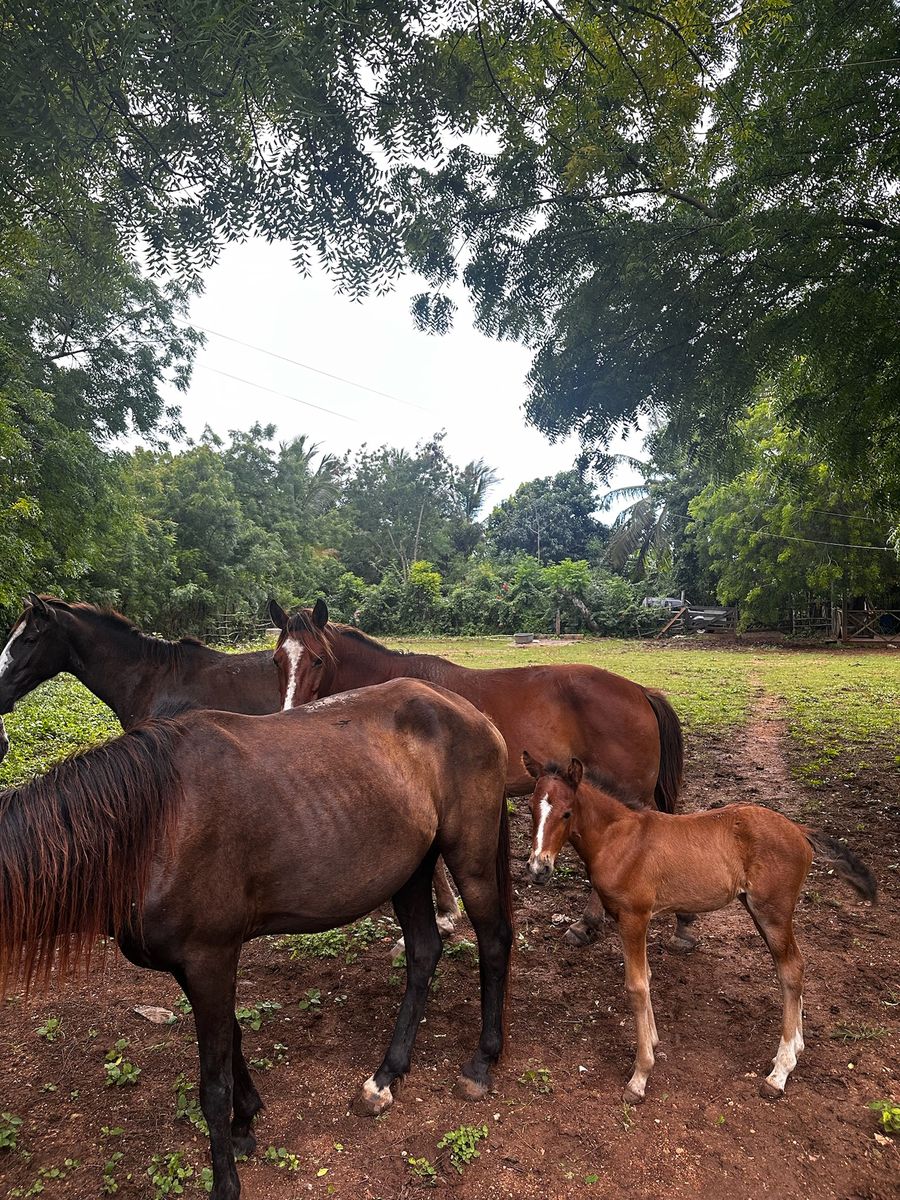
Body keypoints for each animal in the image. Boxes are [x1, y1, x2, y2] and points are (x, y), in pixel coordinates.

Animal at [0, 680, 514, 1200]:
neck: (152, 831)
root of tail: (467, 709)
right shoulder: (196, 965)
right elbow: (233, 1039)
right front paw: (245, 1122)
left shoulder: (209, 958)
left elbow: (213, 1082)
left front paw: (226, 1180)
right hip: (410, 870)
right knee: (424, 953)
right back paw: (385, 1076)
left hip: (468, 858)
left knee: (493, 943)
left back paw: (480, 1063)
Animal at [268, 598, 696, 951]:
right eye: (276, 661)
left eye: (317, 660)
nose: (288, 712)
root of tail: (640, 691)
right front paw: (446, 914)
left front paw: (442, 918)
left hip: (629, 792)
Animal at [522, 752, 876, 1104]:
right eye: (530, 808)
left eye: (567, 813)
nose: (539, 868)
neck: (620, 839)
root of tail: (799, 830)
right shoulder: (637, 919)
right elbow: (647, 976)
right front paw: (653, 1042)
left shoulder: (634, 917)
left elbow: (637, 986)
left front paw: (640, 1075)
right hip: (760, 910)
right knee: (792, 967)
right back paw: (791, 1053)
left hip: (772, 911)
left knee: (791, 970)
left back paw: (780, 1074)